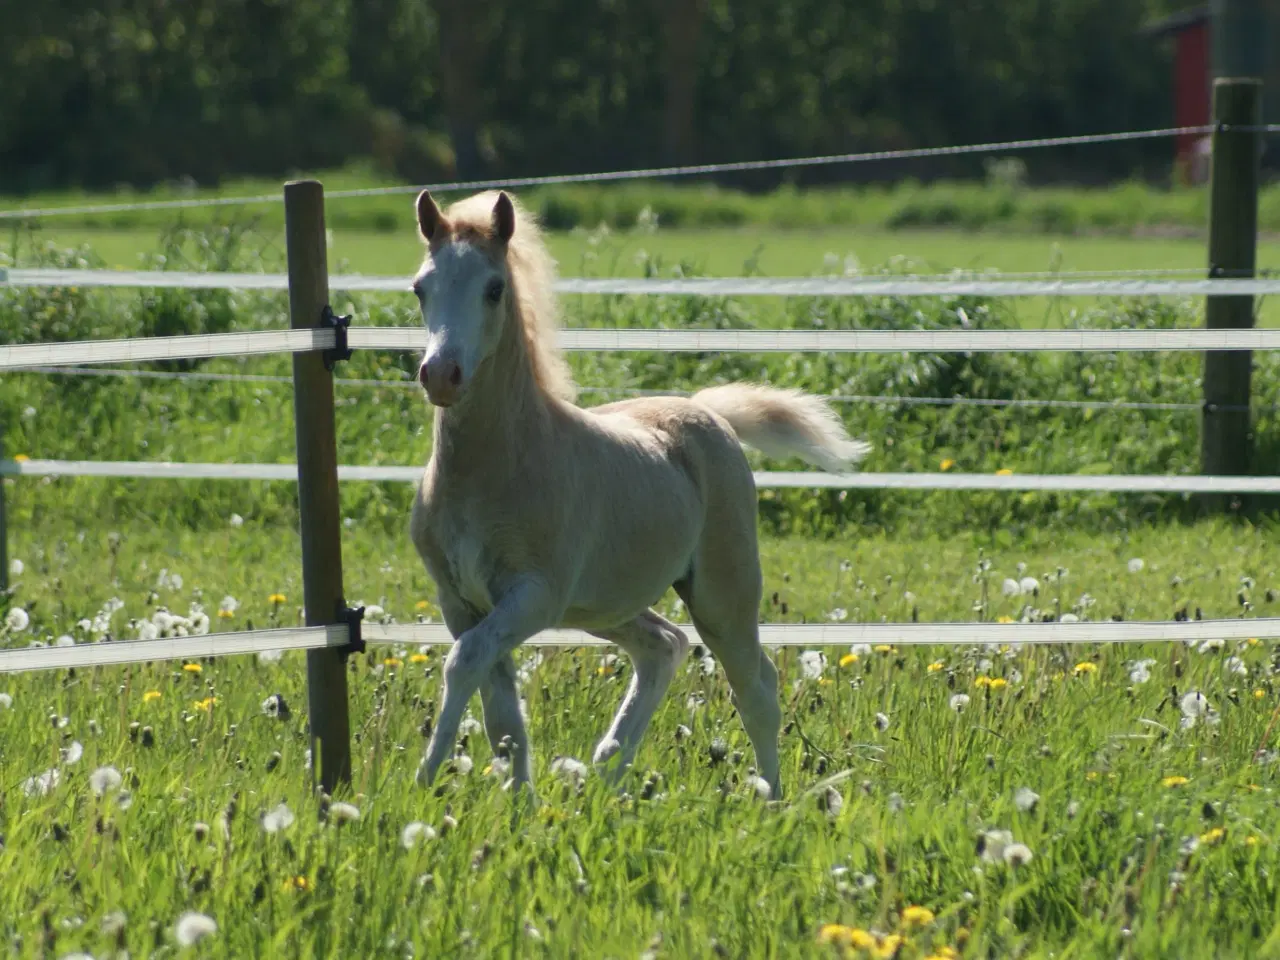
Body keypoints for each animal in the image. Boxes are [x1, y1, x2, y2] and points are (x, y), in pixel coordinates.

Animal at [409, 192, 870, 798]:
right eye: (421, 287)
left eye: (494, 288)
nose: (441, 374)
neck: (494, 468)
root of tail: (709, 412)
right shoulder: (460, 600)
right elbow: (501, 714)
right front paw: (519, 805)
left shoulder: (534, 594)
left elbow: (465, 663)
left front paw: (425, 777)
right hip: (606, 604)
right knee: (665, 644)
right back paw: (609, 763)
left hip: (722, 595)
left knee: (756, 687)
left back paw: (770, 798)